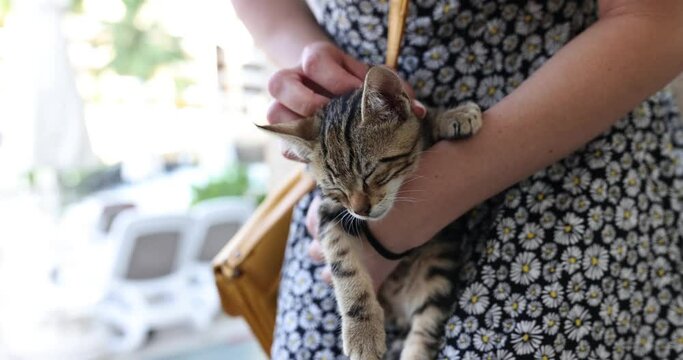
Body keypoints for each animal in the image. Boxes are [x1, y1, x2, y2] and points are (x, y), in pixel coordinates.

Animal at [260, 67, 484, 360]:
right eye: (336, 189)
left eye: (369, 174)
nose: (360, 210)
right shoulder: (328, 214)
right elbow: (344, 268)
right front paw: (362, 333)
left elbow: (423, 119)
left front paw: (453, 115)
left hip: (436, 272)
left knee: (425, 328)